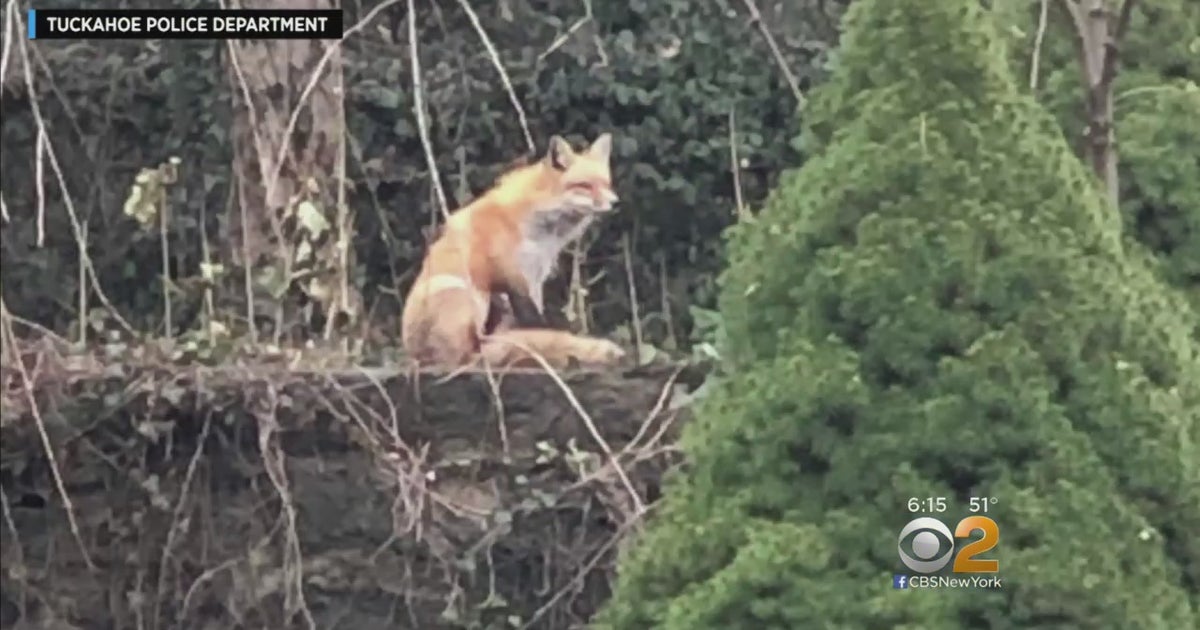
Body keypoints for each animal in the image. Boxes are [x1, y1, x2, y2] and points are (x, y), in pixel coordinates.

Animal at [401, 132, 626, 369]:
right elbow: (536, 322)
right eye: (585, 185)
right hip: (468, 293)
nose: (616, 203)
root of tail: (416, 355)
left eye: (606, 183)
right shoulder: (513, 275)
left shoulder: (535, 276)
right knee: (474, 351)